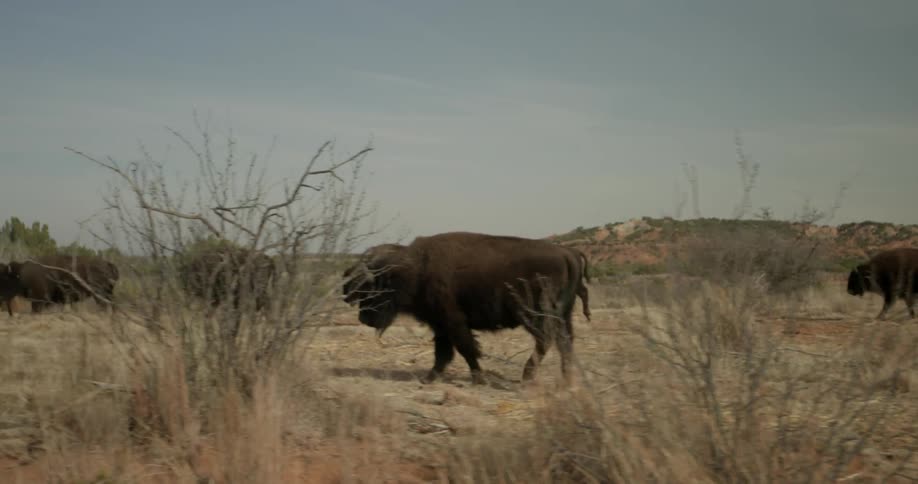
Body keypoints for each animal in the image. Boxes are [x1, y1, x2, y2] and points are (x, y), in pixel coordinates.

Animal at [342, 231, 587, 385]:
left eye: (371, 289)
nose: (363, 319)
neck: (415, 266)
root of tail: (568, 254)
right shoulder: (440, 325)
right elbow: (443, 353)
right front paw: (429, 378)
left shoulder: (453, 321)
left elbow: (465, 349)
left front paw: (478, 379)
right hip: (563, 315)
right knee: (565, 342)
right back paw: (567, 379)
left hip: (535, 315)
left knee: (546, 340)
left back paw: (527, 377)